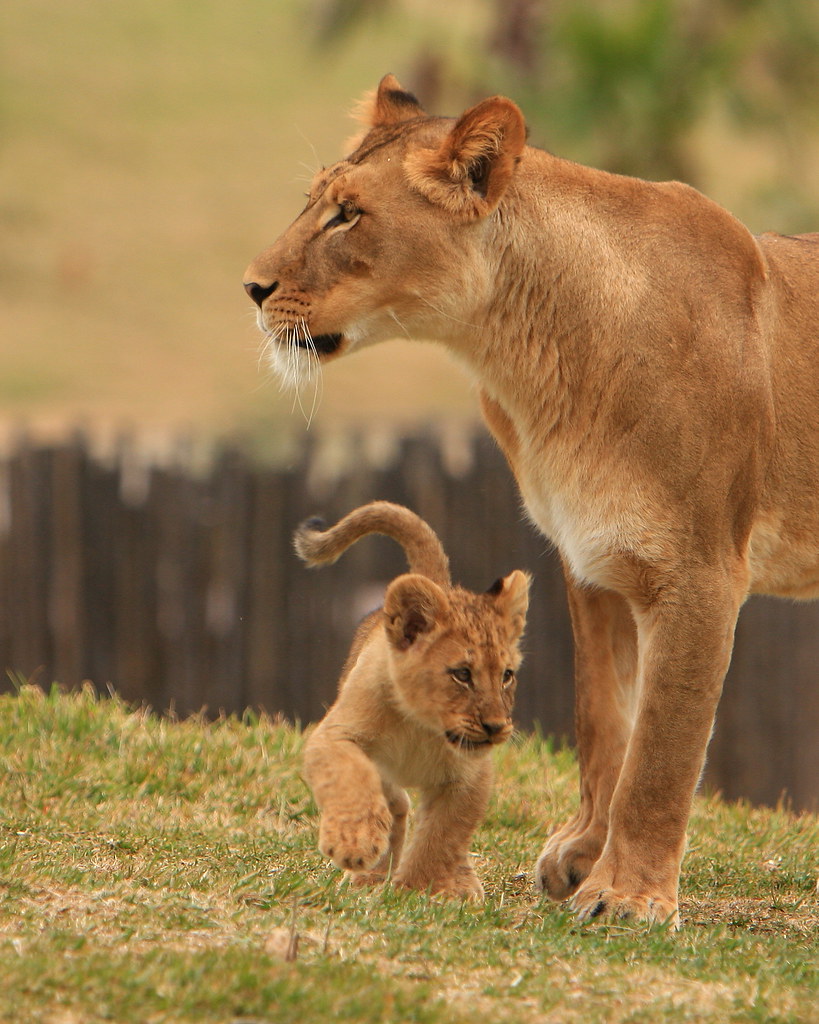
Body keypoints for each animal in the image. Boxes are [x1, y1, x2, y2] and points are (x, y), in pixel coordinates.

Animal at [295, 500, 530, 898]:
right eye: (462, 674)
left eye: (507, 676)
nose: (496, 727)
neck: (422, 726)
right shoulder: (334, 736)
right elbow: (351, 778)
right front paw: (353, 844)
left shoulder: (471, 777)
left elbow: (444, 834)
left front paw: (419, 890)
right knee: (396, 803)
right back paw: (370, 872)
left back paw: (460, 881)